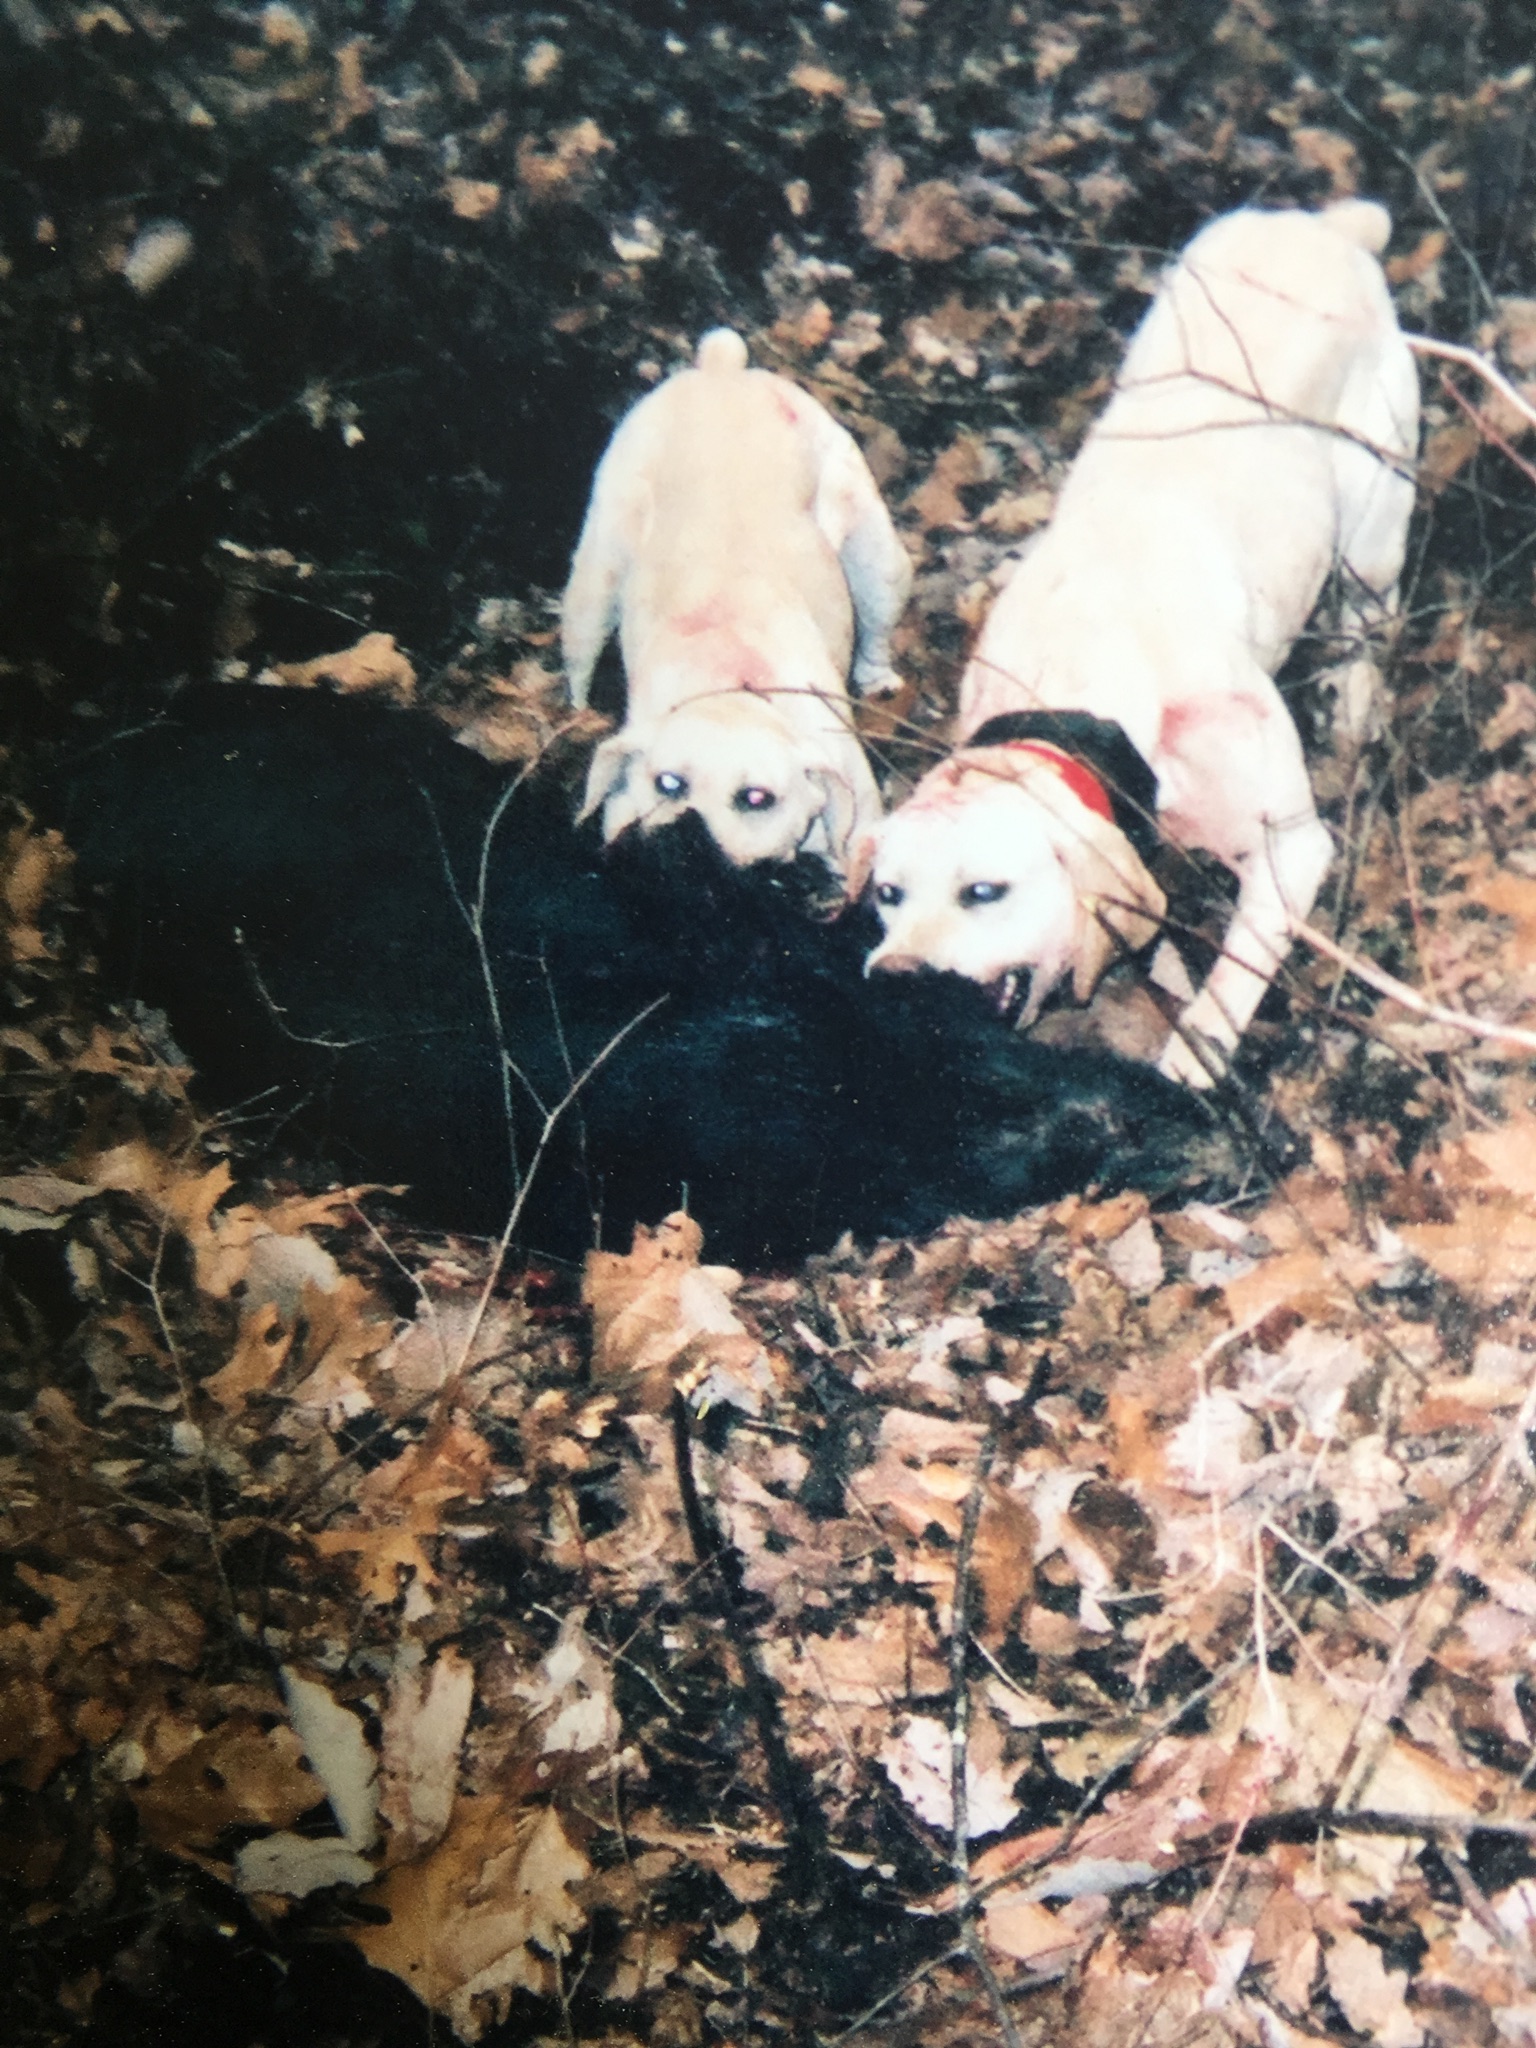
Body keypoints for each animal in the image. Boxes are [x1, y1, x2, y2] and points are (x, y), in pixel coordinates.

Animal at [562, 328, 912, 871]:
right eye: (668, 782)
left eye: (756, 798)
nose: (687, 832)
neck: (733, 687)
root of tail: (720, 369)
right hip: (593, 589)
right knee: (579, 668)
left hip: (879, 562)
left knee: (875, 636)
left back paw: (877, 680)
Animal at [854, 201, 1420, 1087]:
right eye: (887, 894)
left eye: (984, 891)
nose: (892, 979)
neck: (1078, 685)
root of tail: (1327, 225)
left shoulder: (1291, 850)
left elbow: (1226, 988)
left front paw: (1191, 1063)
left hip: (1374, 535)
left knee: (1370, 623)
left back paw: (1355, 709)